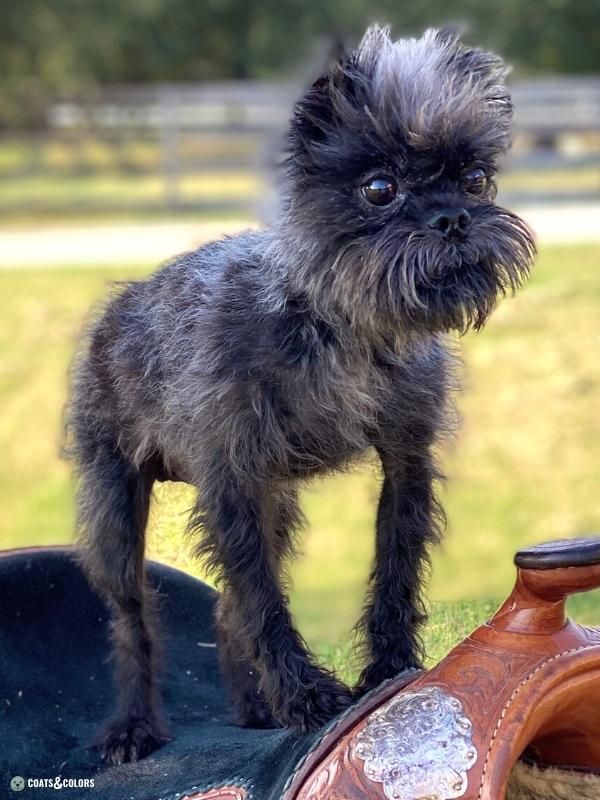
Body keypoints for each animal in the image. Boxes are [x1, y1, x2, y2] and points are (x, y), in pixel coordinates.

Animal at [64, 25, 536, 764]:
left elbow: (393, 571)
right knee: (135, 618)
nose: (454, 218)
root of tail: (117, 310)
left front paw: (388, 670)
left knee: (224, 608)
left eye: (477, 179)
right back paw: (135, 725)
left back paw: (253, 708)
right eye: (379, 188)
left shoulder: (403, 463)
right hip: (116, 509)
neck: (339, 327)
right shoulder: (230, 483)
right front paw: (308, 697)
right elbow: (262, 601)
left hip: (274, 503)